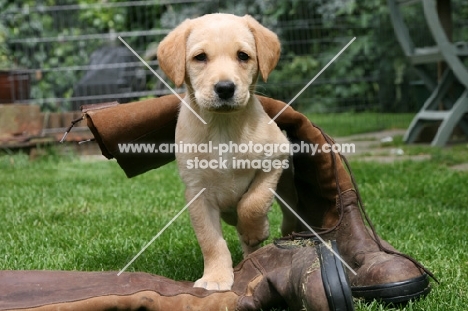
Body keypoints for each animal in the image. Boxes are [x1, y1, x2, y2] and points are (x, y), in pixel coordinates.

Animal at [157, 13, 288, 292]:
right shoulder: (198, 193)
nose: (225, 88)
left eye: (243, 56)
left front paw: (255, 231)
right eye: (200, 57)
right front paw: (216, 278)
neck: (222, 127)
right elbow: (210, 240)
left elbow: (253, 202)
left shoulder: (277, 156)